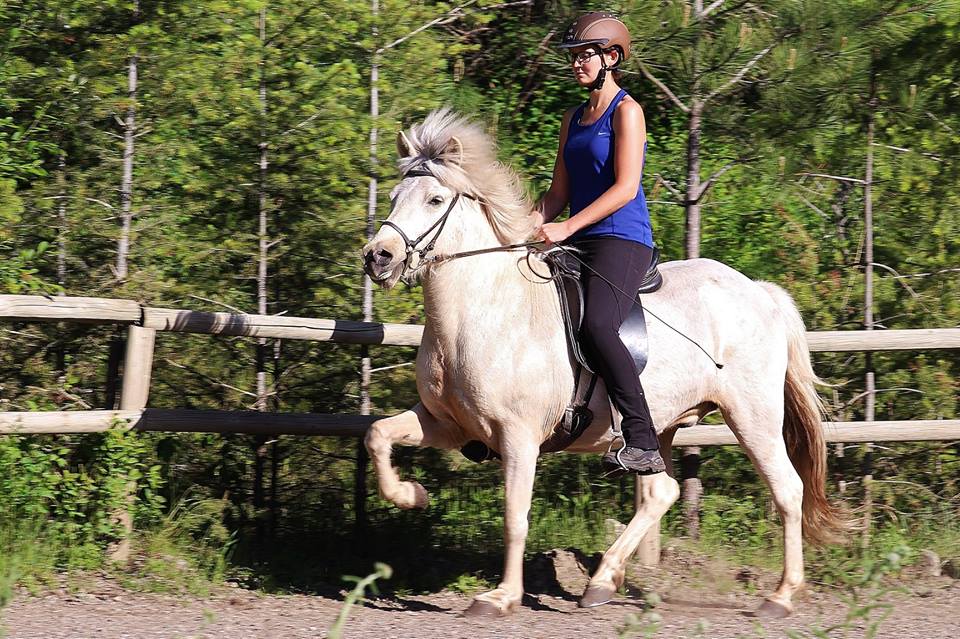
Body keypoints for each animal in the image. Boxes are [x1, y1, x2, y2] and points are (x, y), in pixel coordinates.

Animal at [361, 109, 847, 619]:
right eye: (393, 197)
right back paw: (602, 581)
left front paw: (501, 597)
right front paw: (412, 495)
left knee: (787, 490)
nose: (378, 257)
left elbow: (515, 517)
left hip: (752, 417)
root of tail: (759, 292)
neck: (484, 311)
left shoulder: (519, 438)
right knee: (661, 492)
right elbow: (377, 435)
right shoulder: (448, 424)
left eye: (435, 199)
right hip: (658, 425)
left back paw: (782, 596)